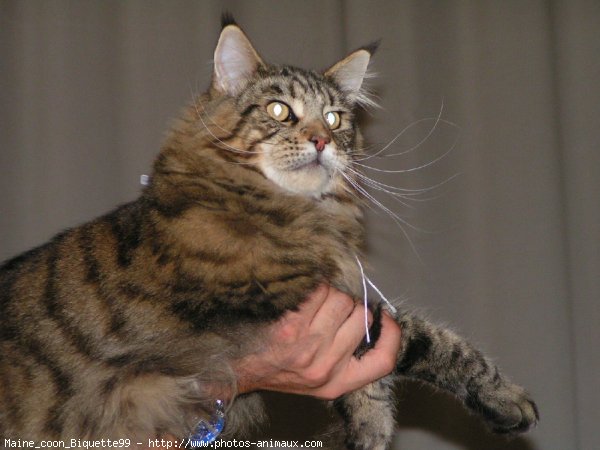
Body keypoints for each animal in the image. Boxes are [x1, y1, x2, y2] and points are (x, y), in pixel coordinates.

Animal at [0, 14, 540, 450]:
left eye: (334, 118)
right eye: (280, 110)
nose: (321, 141)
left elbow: (380, 367)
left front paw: (368, 427)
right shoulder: (280, 300)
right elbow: (425, 337)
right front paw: (506, 400)